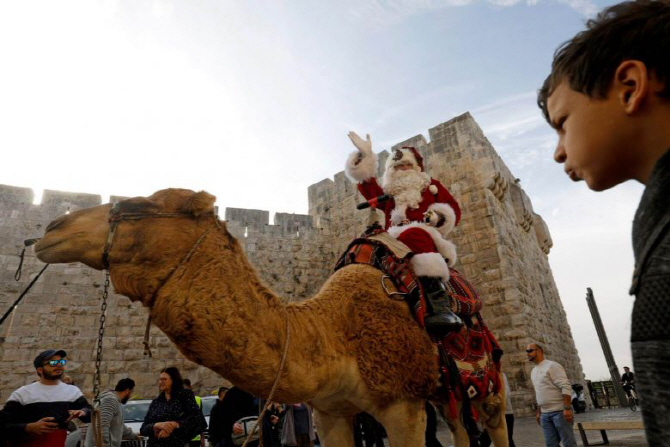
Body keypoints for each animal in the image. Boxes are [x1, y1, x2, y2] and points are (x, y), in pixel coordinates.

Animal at [35, 189, 510, 447]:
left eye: (138, 205)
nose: (52, 228)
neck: (332, 331)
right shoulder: (330, 411)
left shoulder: (403, 406)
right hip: (448, 394)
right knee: (461, 428)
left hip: (489, 384)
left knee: (493, 423)